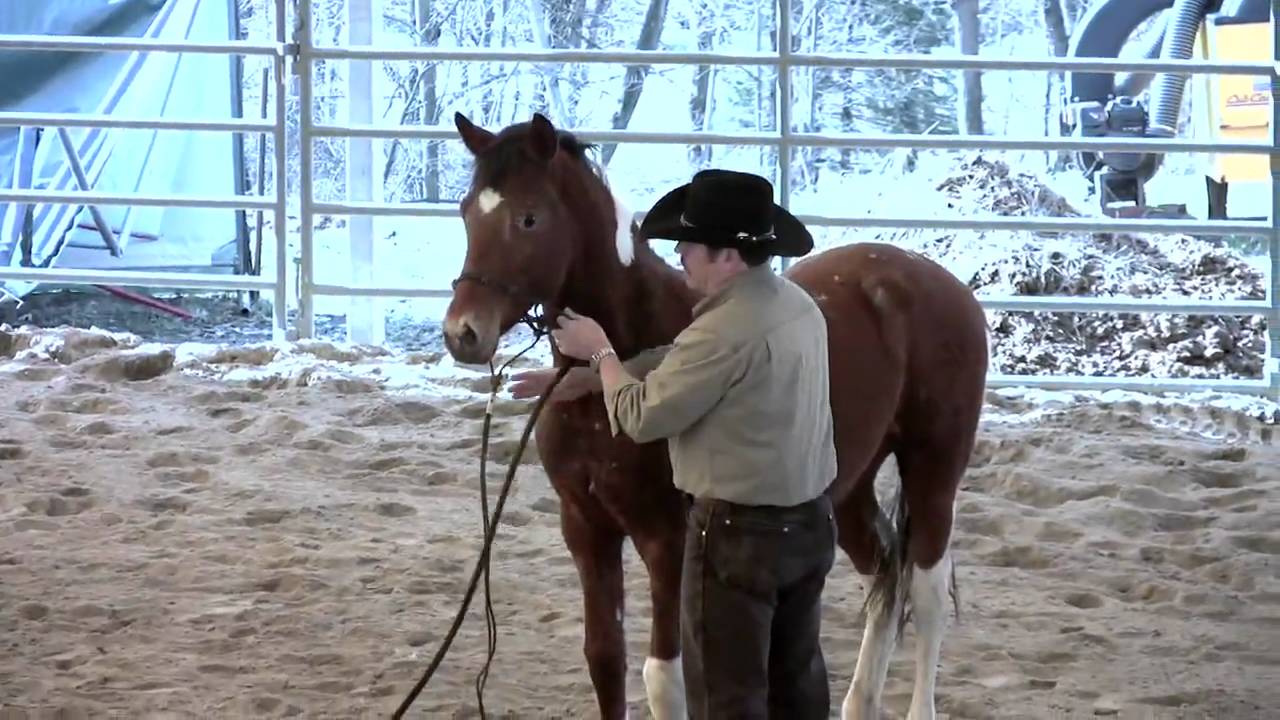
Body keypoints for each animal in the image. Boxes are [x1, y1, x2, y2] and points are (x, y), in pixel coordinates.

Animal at [440, 111, 989, 720]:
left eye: (529, 217)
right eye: (466, 211)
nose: (463, 333)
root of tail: (934, 280)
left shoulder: (668, 541)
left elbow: (663, 677)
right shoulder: (585, 528)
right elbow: (604, 658)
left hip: (934, 470)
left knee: (926, 590)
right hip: (849, 489)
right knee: (886, 575)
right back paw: (859, 702)